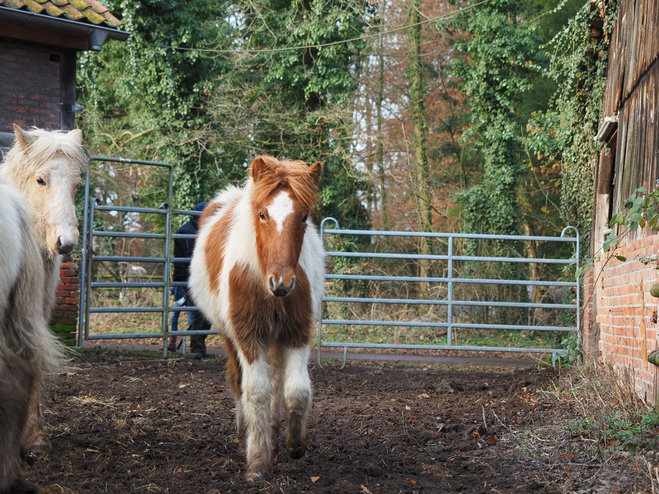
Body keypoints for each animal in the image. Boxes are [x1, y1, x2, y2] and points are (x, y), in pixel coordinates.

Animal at [189, 155, 326, 482]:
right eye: (262, 214)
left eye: (304, 217)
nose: (282, 282)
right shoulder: (248, 336)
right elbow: (256, 392)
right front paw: (257, 461)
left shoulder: (297, 333)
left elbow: (296, 391)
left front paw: (295, 445)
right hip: (231, 336)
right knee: (239, 381)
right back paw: (245, 435)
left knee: (277, 384)